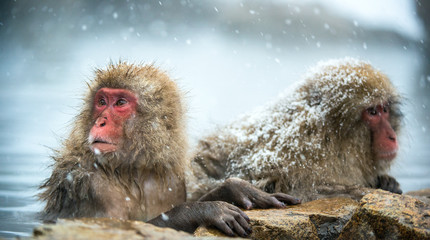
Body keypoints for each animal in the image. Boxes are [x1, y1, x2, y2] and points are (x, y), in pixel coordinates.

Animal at [41, 61, 268, 236]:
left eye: (120, 102)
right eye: (102, 101)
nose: (100, 121)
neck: (132, 169)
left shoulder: (174, 180)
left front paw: (232, 189)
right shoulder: (88, 185)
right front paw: (204, 209)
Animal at [188, 58, 404, 202]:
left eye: (385, 110)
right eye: (373, 112)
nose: (391, 136)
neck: (333, 137)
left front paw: (387, 182)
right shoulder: (303, 153)